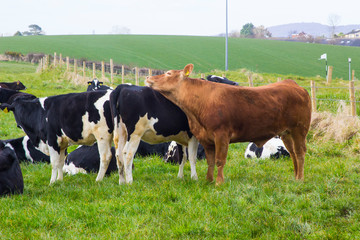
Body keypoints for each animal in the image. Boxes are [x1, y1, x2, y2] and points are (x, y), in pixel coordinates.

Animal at [145, 63, 310, 184]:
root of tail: (292, 84)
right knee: (293, 153)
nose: (148, 77)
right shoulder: (206, 139)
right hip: (286, 133)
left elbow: (219, 161)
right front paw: (208, 180)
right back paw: (295, 177)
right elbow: (210, 161)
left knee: (300, 153)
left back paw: (301, 179)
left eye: (168, 73)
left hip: (300, 130)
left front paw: (219, 182)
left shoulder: (221, 135)